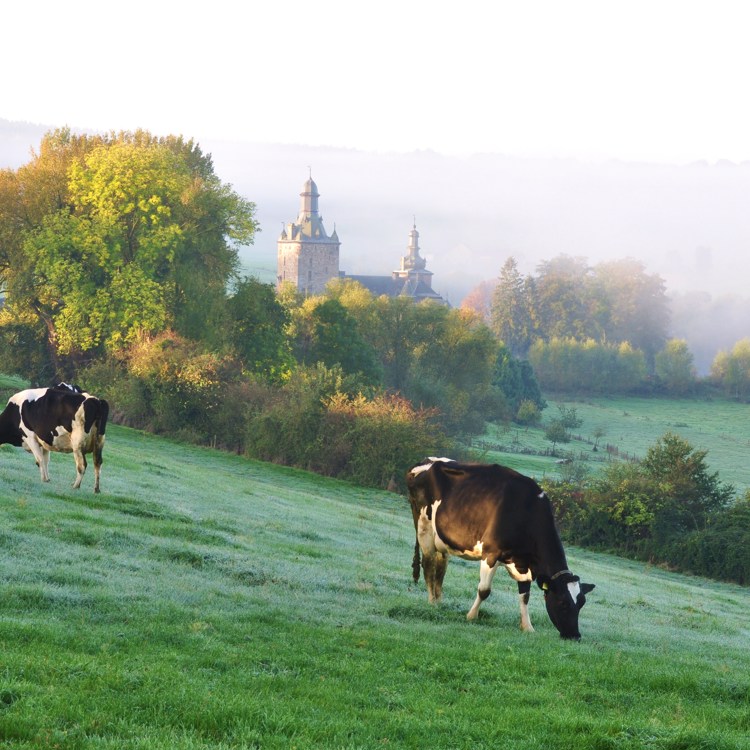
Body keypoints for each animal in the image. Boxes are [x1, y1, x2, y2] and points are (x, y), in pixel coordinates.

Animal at [408, 458, 596, 640]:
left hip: (442, 540)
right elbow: (484, 590)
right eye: (563, 602)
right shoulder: (491, 554)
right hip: (424, 527)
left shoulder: (524, 564)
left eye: (582, 603)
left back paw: (440, 601)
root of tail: (425, 462)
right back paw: (432, 602)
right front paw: (471, 616)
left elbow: (525, 595)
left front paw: (527, 627)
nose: (575, 636)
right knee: (429, 565)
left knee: (440, 568)